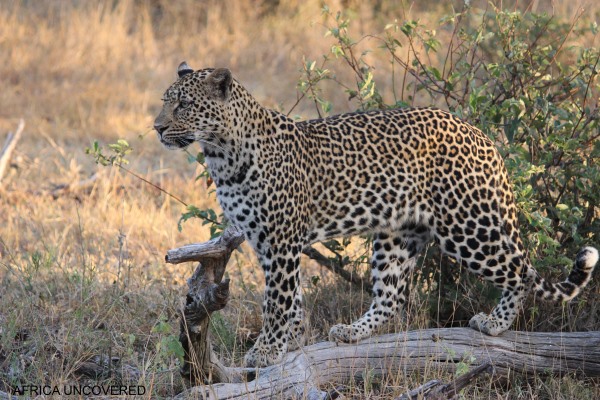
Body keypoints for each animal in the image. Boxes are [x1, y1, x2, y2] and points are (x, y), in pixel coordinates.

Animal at [154, 61, 596, 368]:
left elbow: (276, 301)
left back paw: (496, 323)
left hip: (468, 225)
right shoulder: (267, 242)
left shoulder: (280, 241)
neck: (221, 154)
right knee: (391, 296)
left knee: (521, 273)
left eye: (184, 104)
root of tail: (479, 133)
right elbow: (291, 299)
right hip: (399, 234)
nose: (156, 127)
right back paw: (352, 331)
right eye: (165, 101)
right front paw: (293, 340)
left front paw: (266, 350)